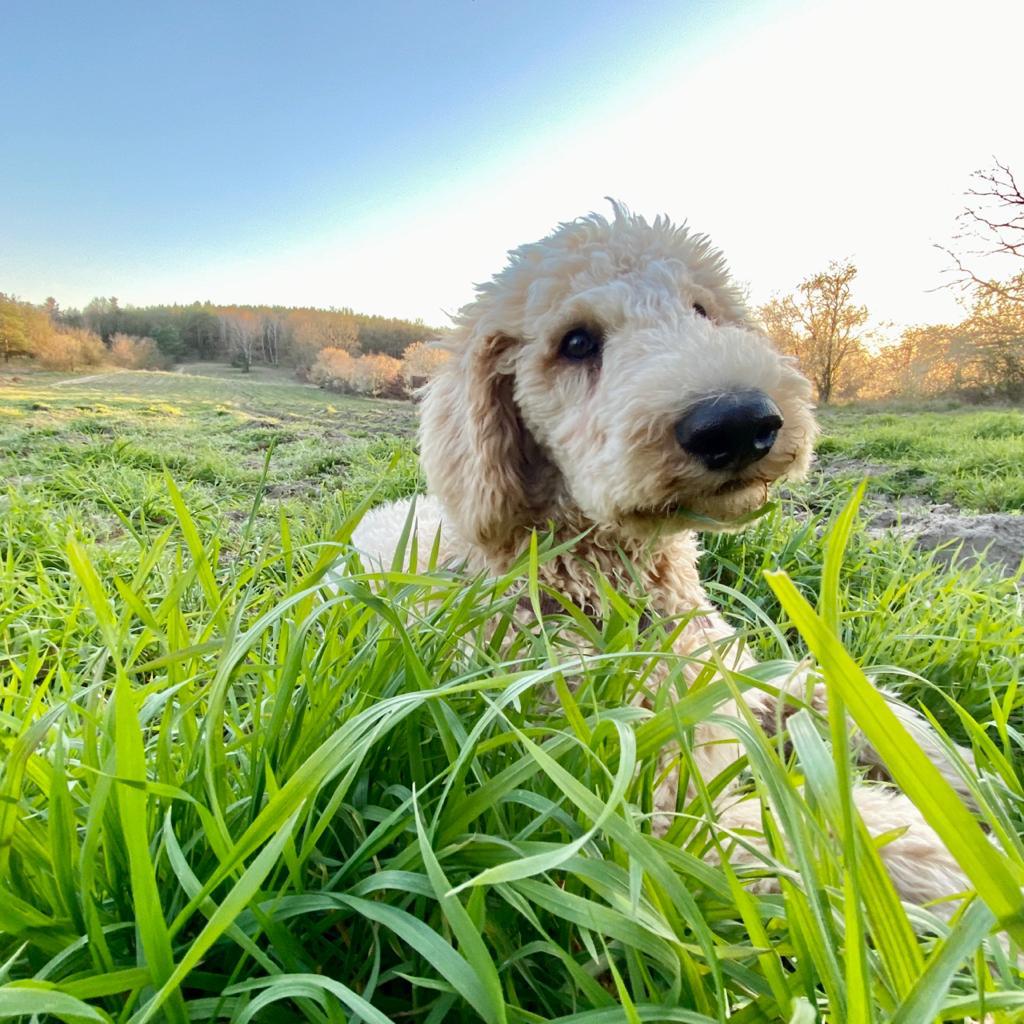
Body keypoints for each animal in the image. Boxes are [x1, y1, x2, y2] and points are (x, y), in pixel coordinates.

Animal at [352, 203, 974, 908]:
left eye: (702, 310)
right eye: (576, 343)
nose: (740, 421)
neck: (612, 583)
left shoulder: (738, 675)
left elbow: (826, 686)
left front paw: (956, 770)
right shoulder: (651, 799)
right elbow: (829, 834)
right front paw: (966, 865)